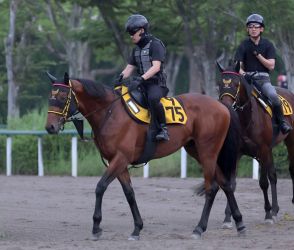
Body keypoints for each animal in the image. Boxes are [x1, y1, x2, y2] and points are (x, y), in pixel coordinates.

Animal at [45, 71, 243, 239]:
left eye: (62, 97)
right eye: (50, 97)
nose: (50, 127)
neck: (110, 112)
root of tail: (221, 106)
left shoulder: (120, 159)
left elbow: (100, 187)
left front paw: (96, 226)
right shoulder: (118, 162)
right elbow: (129, 193)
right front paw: (137, 228)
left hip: (208, 152)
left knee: (212, 188)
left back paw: (199, 228)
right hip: (198, 152)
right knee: (225, 184)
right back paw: (239, 222)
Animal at [216, 60, 294, 227]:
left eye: (236, 84)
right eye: (220, 83)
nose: (225, 105)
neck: (247, 120)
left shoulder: (263, 149)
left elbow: (264, 182)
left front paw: (268, 214)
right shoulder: (238, 152)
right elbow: (231, 183)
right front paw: (228, 218)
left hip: (290, 141)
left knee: (288, 170)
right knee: (272, 175)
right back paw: (275, 209)